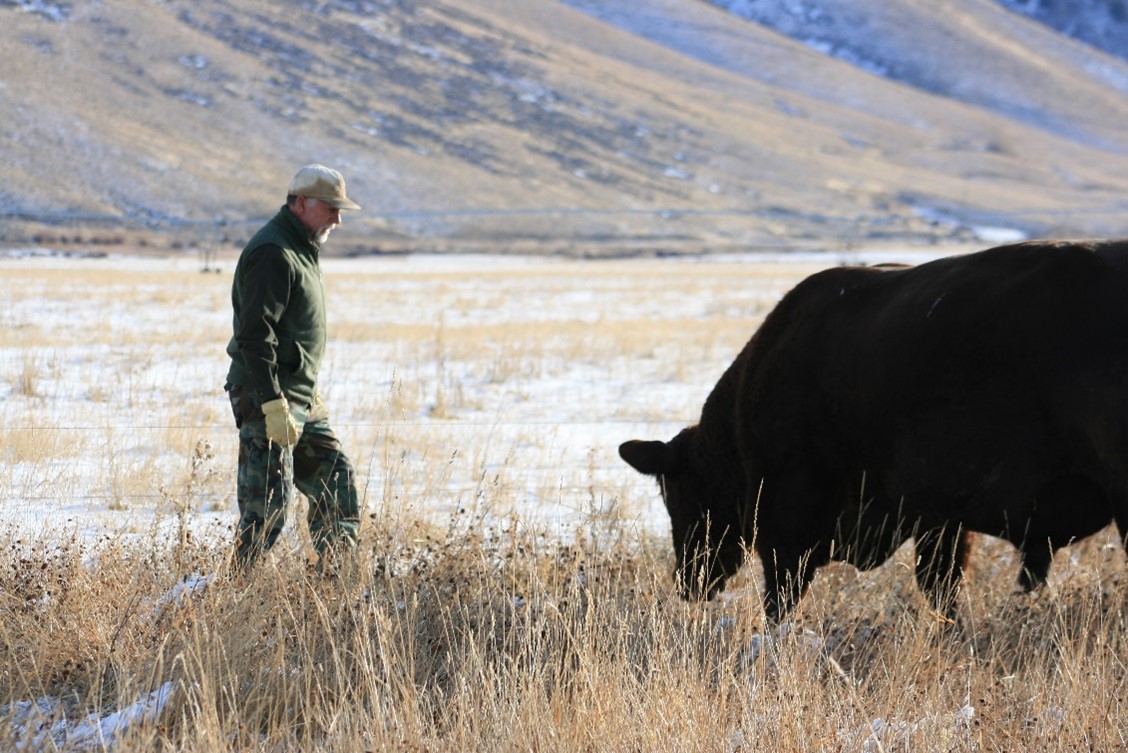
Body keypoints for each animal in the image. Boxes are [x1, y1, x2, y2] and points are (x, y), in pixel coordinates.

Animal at [622, 240, 1128, 617]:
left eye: (677, 494)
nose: (687, 582)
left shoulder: (787, 519)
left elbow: (781, 596)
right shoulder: (939, 518)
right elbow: (942, 585)